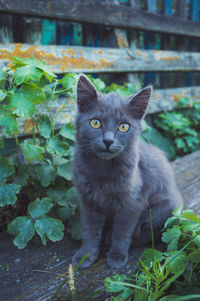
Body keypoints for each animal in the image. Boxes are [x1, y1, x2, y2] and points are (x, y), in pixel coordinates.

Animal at [72, 74, 183, 268]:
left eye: (123, 126)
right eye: (95, 123)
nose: (108, 141)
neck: (102, 171)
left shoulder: (131, 203)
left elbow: (122, 232)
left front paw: (117, 256)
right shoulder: (88, 202)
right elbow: (89, 231)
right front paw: (85, 256)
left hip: (162, 209)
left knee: (149, 233)